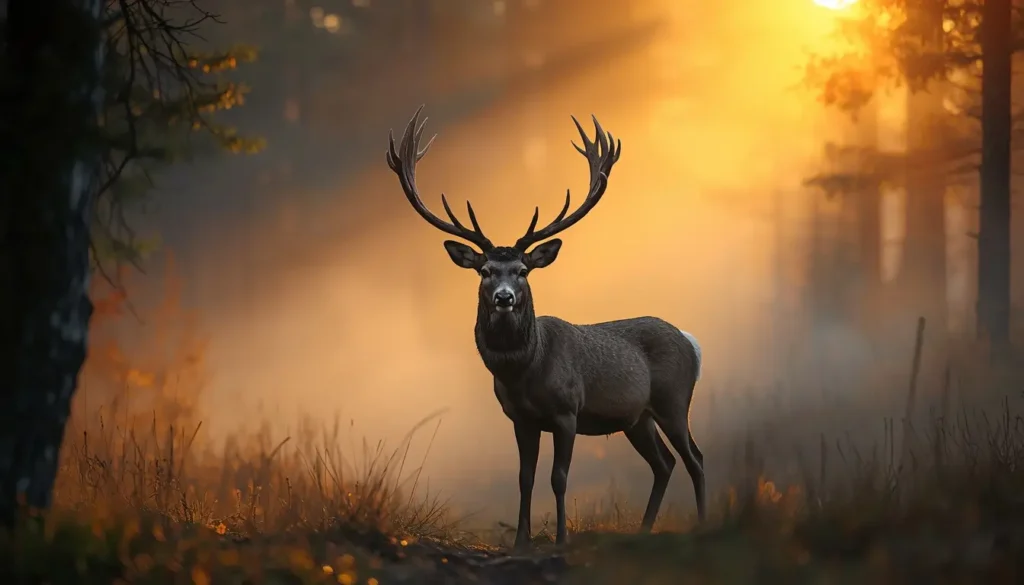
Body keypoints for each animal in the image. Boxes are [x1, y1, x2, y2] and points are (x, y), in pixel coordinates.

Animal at [385, 106, 706, 548]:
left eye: (523, 271)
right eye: (485, 271)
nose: (504, 298)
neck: (526, 372)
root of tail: (692, 343)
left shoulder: (567, 411)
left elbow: (559, 478)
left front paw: (561, 539)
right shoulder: (520, 418)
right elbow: (525, 478)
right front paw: (521, 540)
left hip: (674, 399)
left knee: (695, 458)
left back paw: (706, 525)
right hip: (637, 417)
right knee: (665, 463)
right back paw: (643, 530)